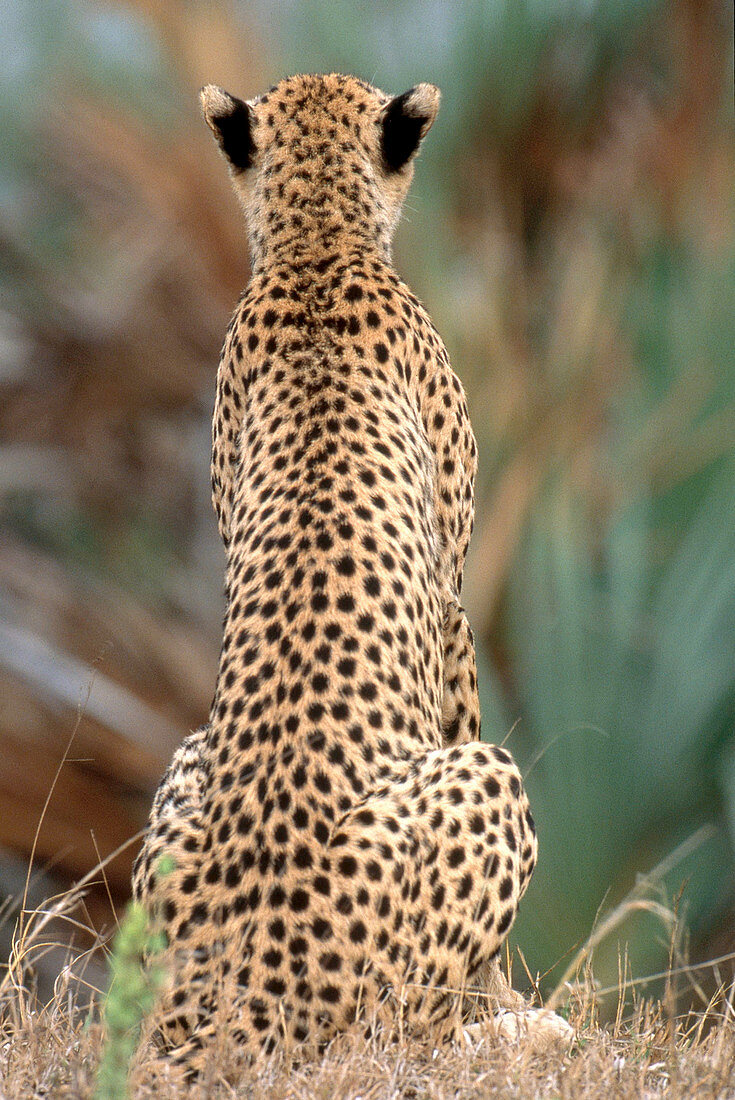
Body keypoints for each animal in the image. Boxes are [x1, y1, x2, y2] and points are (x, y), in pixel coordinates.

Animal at [133, 70, 556, 1073]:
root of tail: (240, 996)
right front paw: (508, 996)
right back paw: (512, 1025)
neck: (318, 243)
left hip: (187, 764)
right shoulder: (454, 605)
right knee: (398, 1030)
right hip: (487, 780)